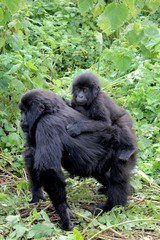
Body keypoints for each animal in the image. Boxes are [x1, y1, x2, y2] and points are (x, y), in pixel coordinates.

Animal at [18, 89, 136, 231]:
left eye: (25, 111)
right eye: (22, 111)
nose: (21, 120)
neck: (50, 110)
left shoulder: (47, 124)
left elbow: (49, 170)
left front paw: (64, 214)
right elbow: (31, 153)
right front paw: (37, 194)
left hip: (122, 146)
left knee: (118, 177)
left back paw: (112, 206)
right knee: (101, 173)